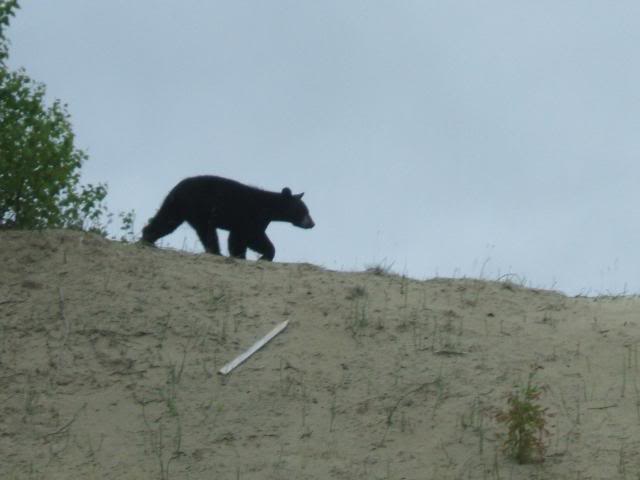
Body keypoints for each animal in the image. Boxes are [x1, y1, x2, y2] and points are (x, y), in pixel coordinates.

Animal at [144, 174, 316, 260]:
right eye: (305, 211)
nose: (312, 223)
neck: (268, 207)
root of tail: (177, 189)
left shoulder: (246, 222)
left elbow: (239, 239)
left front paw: (240, 255)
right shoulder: (251, 216)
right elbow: (252, 237)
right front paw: (264, 255)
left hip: (177, 207)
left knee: (166, 221)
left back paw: (147, 238)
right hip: (200, 208)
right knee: (207, 231)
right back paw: (215, 252)